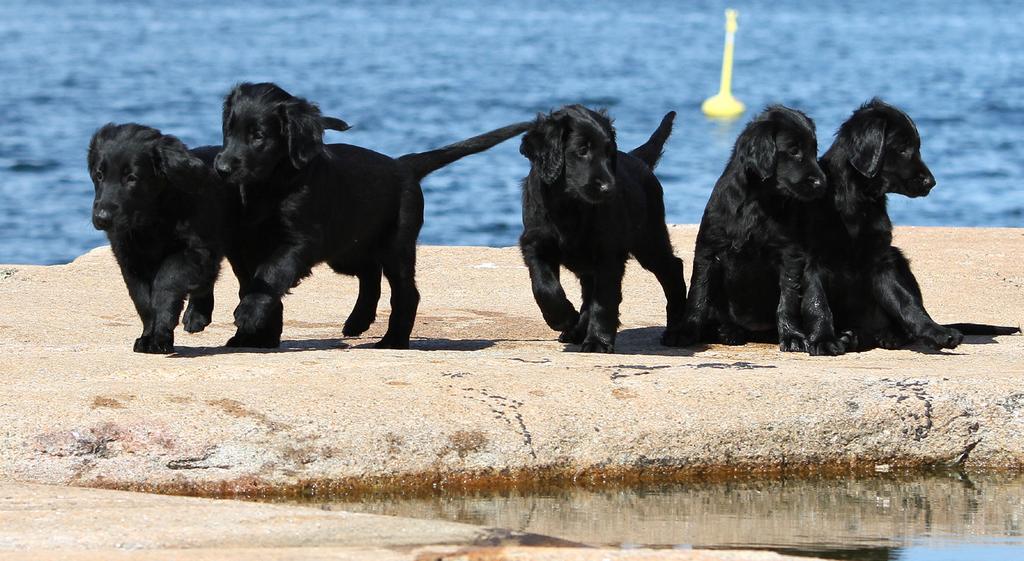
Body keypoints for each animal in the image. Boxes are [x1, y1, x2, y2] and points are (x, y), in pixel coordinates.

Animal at [88, 123, 224, 352]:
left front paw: (160, 334)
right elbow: (143, 301)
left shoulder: (193, 251)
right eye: (99, 175)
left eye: (132, 178)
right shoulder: (129, 259)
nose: (102, 218)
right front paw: (149, 336)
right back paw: (197, 316)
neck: (150, 222)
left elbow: (165, 281)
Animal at [218, 82, 536, 350]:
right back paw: (359, 321)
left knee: (405, 292)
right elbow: (253, 284)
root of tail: (402, 165)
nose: (221, 168)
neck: (271, 187)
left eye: (258, 137)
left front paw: (248, 315)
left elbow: (270, 274)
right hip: (346, 248)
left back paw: (393, 340)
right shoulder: (243, 248)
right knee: (370, 272)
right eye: (228, 132)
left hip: (396, 245)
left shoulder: (298, 242)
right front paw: (254, 337)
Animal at [520, 105, 688, 352]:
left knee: (673, 268)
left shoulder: (609, 253)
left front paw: (597, 342)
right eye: (582, 150)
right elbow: (544, 288)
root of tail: (638, 159)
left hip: (649, 239)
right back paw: (576, 329)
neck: (570, 206)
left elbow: (604, 300)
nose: (609, 188)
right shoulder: (535, 245)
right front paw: (564, 318)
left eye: (610, 152)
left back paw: (676, 331)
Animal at [675, 105, 835, 350]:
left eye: (814, 150)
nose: (822, 183)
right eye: (794, 150)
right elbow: (698, 293)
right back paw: (727, 331)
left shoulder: (790, 255)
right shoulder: (709, 250)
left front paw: (792, 336)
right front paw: (685, 332)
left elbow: (788, 299)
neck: (757, 203)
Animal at [798, 98, 1015, 348]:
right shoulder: (812, 259)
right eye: (902, 148)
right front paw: (823, 339)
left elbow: (905, 302)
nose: (931, 182)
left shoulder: (882, 260)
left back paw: (889, 335)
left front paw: (936, 331)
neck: (856, 200)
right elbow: (817, 300)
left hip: (898, 257)